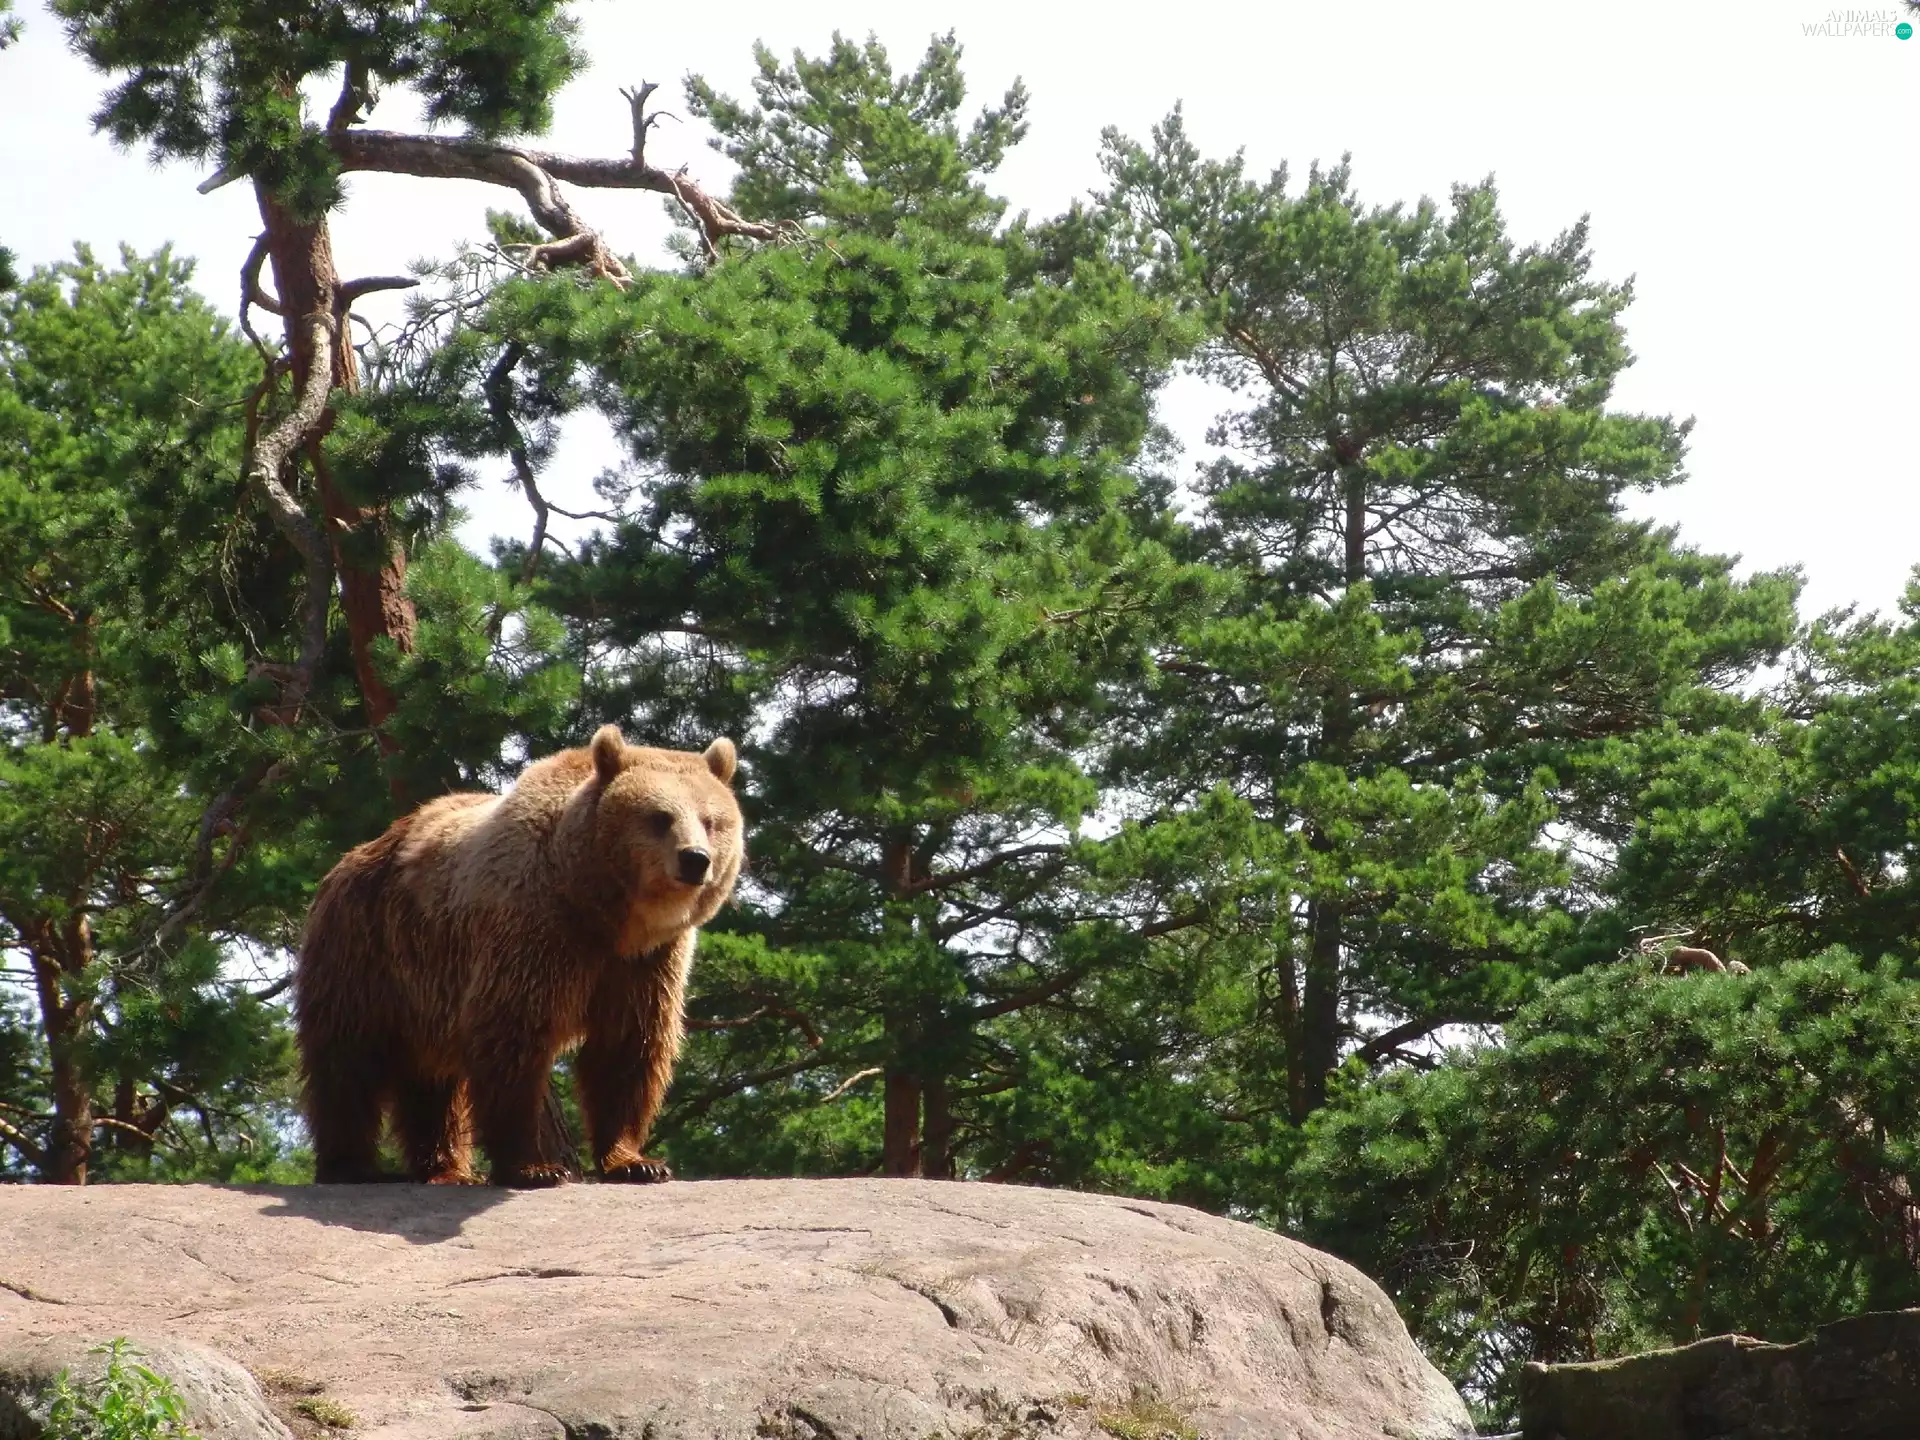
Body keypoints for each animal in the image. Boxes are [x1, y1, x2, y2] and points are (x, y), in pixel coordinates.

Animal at [294, 726, 743, 1187]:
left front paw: (636, 1161)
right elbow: (513, 1037)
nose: (695, 859)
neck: (603, 913)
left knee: (430, 1078)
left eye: (711, 820)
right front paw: (535, 1167)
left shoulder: (645, 963)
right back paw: (351, 1165)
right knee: (348, 1057)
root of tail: (349, 858)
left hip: (423, 989)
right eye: (660, 817)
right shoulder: (536, 932)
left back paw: (447, 1169)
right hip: (370, 949)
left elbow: (627, 1046)